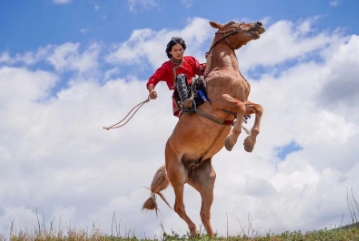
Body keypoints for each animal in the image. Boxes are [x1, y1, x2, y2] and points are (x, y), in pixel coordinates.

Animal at [143, 20, 264, 237]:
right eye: (233, 23)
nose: (258, 24)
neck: (225, 70)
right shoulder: (223, 102)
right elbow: (242, 108)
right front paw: (232, 140)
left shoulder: (242, 101)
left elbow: (258, 108)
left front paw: (249, 143)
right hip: (178, 175)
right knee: (179, 207)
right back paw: (193, 232)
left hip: (207, 182)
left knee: (204, 213)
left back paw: (211, 236)